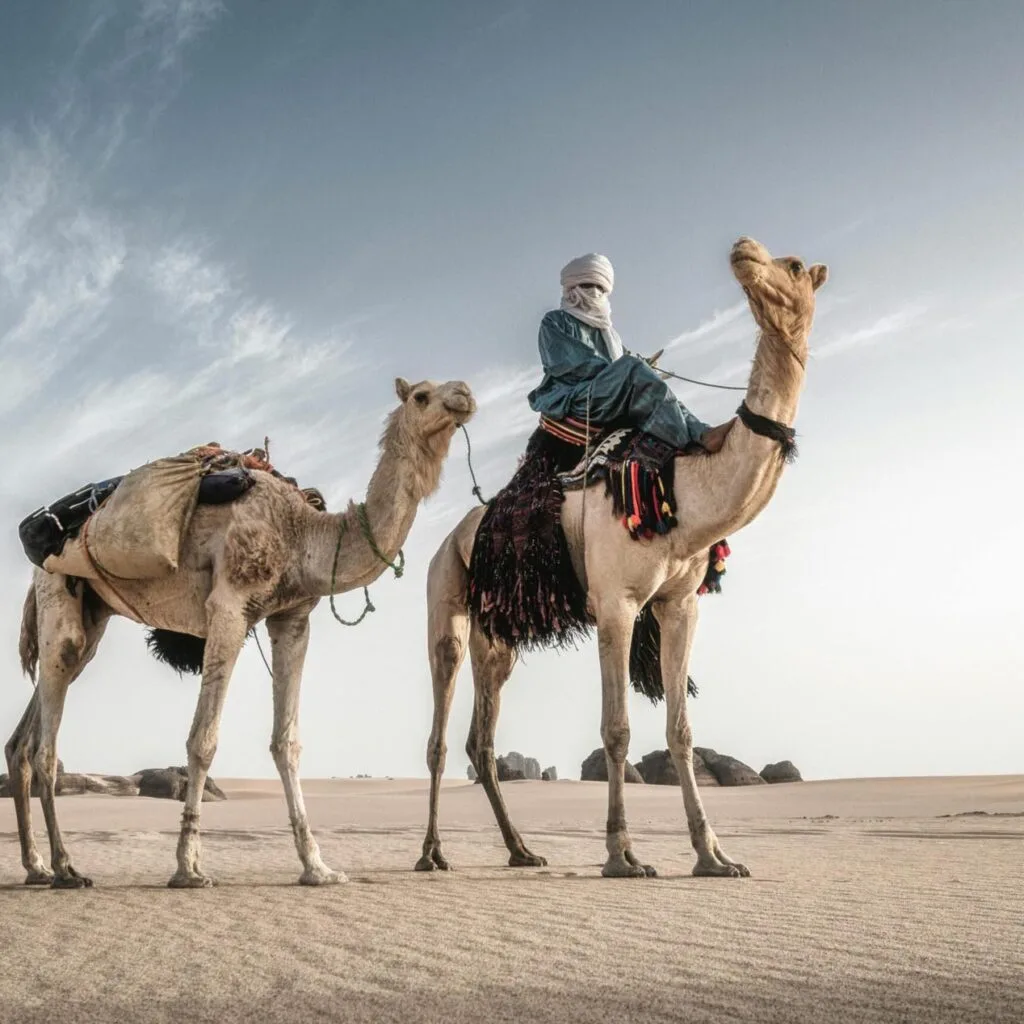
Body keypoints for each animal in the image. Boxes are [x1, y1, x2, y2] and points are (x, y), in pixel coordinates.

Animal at [5, 376, 476, 889]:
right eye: (422, 396)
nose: (465, 394)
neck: (304, 535)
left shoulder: (291, 618)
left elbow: (287, 742)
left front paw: (318, 867)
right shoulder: (229, 607)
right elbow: (203, 740)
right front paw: (188, 868)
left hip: (94, 614)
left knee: (26, 738)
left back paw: (36, 866)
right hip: (58, 595)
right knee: (47, 740)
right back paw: (66, 867)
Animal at [416, 237, 827, 878]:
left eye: (792, 266)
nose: (743, 249)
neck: (687, 487)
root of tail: (452, 536)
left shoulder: (679, 604)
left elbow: (680, 729)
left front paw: (714, 856)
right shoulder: (616, 602)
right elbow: (617, 729)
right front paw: (622, 855)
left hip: (498, 630)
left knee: (480, 740)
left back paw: (521, 850)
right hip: (445, 597)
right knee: (439, 726)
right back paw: (432, 853)